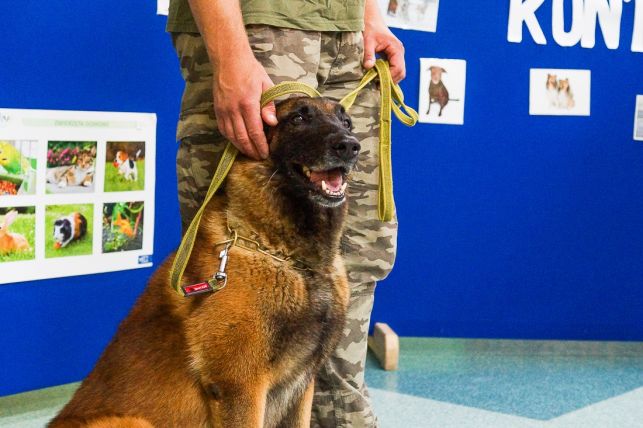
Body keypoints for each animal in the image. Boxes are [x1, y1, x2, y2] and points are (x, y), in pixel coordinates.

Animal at [49, 97, 362, 428]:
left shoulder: (302, 386)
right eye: (299, 118)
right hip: (131, 422)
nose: (350, 146)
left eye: (347, 122)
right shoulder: (240, 387)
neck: (295, 261)